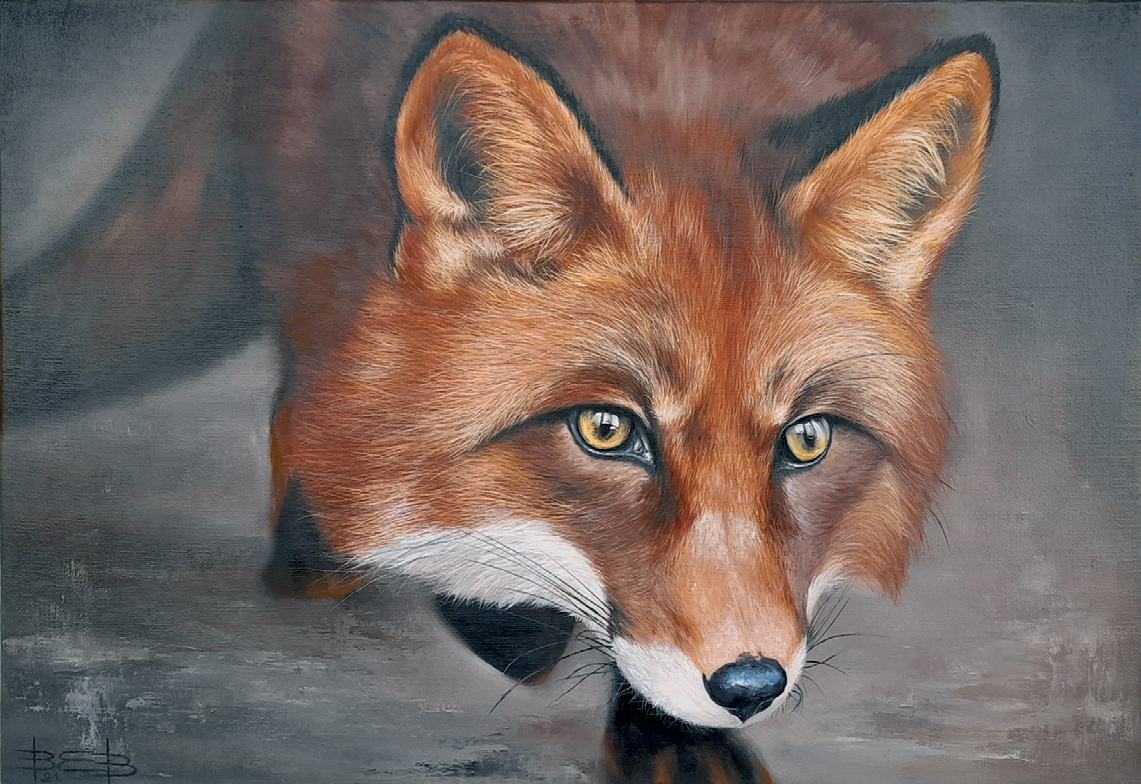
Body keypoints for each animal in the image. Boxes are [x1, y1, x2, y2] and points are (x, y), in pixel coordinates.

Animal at [6, 3, 997, 779]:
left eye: (805, 440)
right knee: (308, 412)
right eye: (605, 430)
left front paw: (676, 745)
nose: (750, 687)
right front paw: (504, 618)